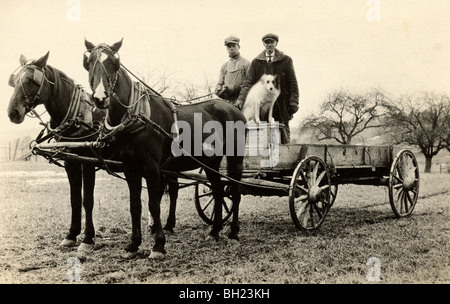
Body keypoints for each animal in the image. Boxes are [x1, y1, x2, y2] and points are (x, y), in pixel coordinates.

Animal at [6, 51, 179, 254]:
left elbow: (87, 200)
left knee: (173, 189)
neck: (79, 117)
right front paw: (71, 235)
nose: (12, 112)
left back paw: (169, 225)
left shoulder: (87, 161)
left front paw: (87, 238)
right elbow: (74, 199)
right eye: (14, 81)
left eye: (30, 80)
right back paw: (156, 226)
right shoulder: (71, 163)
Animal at [84, 38, 246, 258]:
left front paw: (158, 245)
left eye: (114, 63)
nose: (100, 98)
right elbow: (135, 206)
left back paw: (234, 232)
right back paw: (214, 232)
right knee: (219, 190)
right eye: (89, 62)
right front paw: (133, 244)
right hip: (211, 162)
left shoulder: (152, 167)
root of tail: (233, 109)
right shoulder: (130, 168)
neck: (137, 117)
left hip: (235, 158)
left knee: (235, 191)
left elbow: (154, 204)